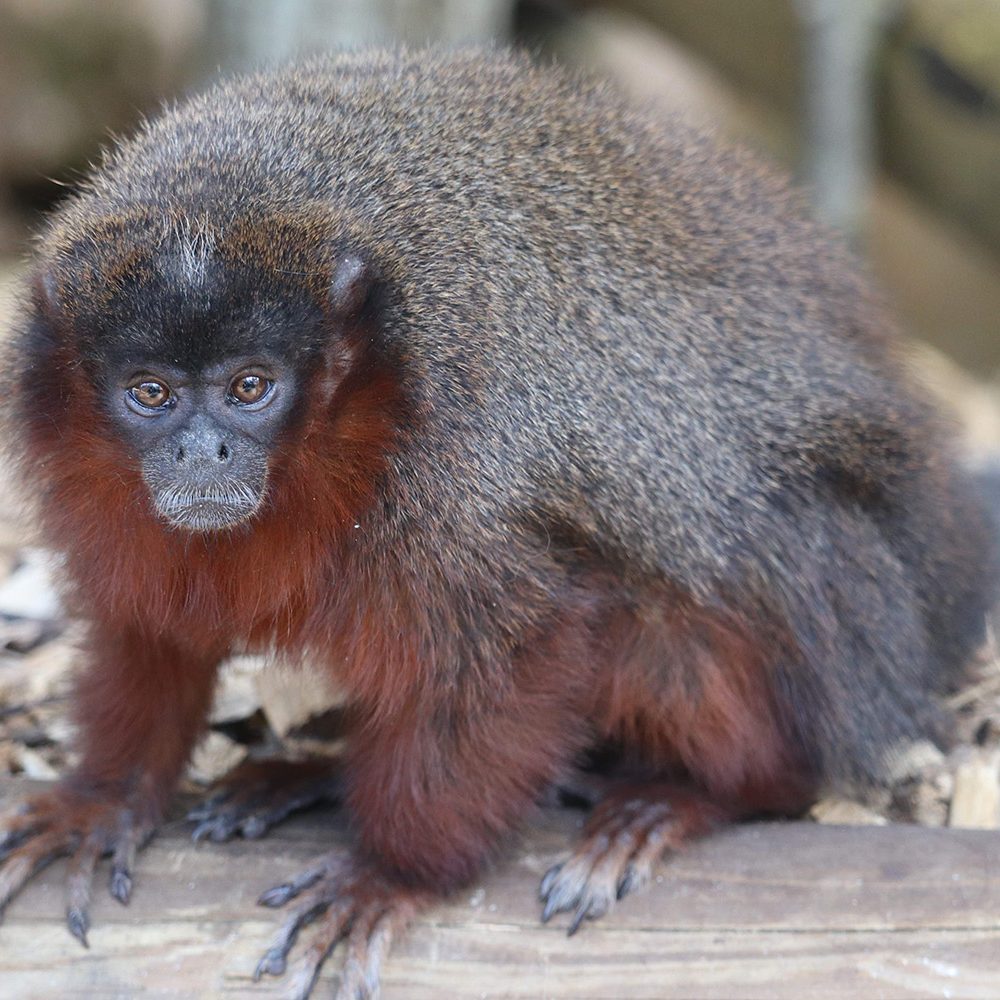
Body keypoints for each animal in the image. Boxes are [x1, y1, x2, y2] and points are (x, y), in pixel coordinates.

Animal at [0, 48, 992, 1000]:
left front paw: (394, 875)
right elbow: (148, 630)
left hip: (852, 616)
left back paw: (695, 795)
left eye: (250, 386)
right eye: (152, 394)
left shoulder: (454, 465)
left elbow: (516, 650)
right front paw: (103, 798)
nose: (201, 453)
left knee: (684, 596)